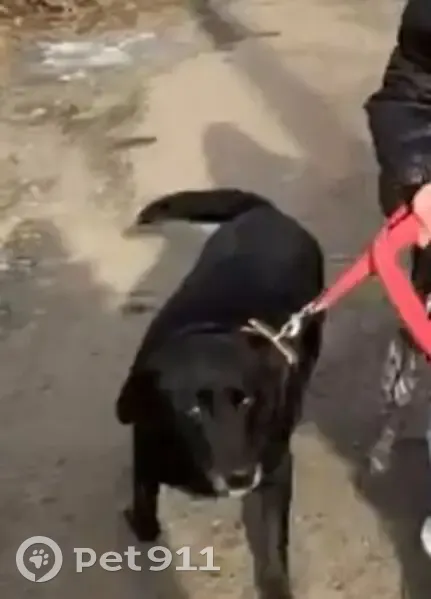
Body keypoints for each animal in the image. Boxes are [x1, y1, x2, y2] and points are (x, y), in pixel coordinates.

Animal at [116, 188, 325, 599]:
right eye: (191, 412)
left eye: (246, 400)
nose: (241, 478)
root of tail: (268, 212)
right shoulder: (145, 442)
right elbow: (144, 503)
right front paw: (141, 522)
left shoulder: (275, 470)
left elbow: (273, 542)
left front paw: (275, 586)